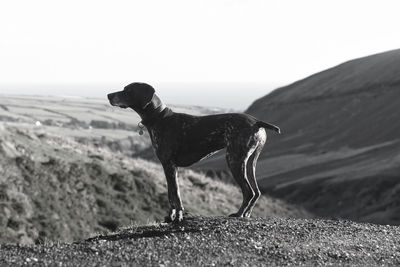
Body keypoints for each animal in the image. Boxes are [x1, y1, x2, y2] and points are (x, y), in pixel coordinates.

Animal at [107, 83, 282, 224]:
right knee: (256, 192)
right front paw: (170, 217)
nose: (108, 95)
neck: (159, 118)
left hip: (234, 160)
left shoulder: (169, 165)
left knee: (248, 191)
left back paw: (239, 214)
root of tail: (257, 122)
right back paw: (246, 214)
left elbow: (175, 195)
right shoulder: (169, 167)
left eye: (128, 90)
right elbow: (171, 194)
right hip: (250, 162)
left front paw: (178, 217)